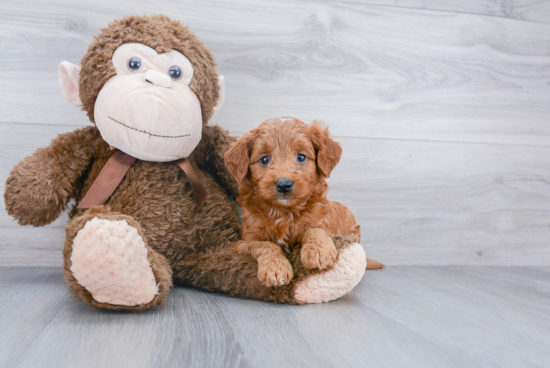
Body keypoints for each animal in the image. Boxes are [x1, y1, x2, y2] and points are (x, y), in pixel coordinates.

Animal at [224, 118, 384, 288]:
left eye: (301, 157)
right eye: (264, 159)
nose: (284, 184)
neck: (284, 212)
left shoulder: (327, 225)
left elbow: (314, 229)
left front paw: (318, 251)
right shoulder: (244, 241)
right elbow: (265, 245)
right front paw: (275, 268)